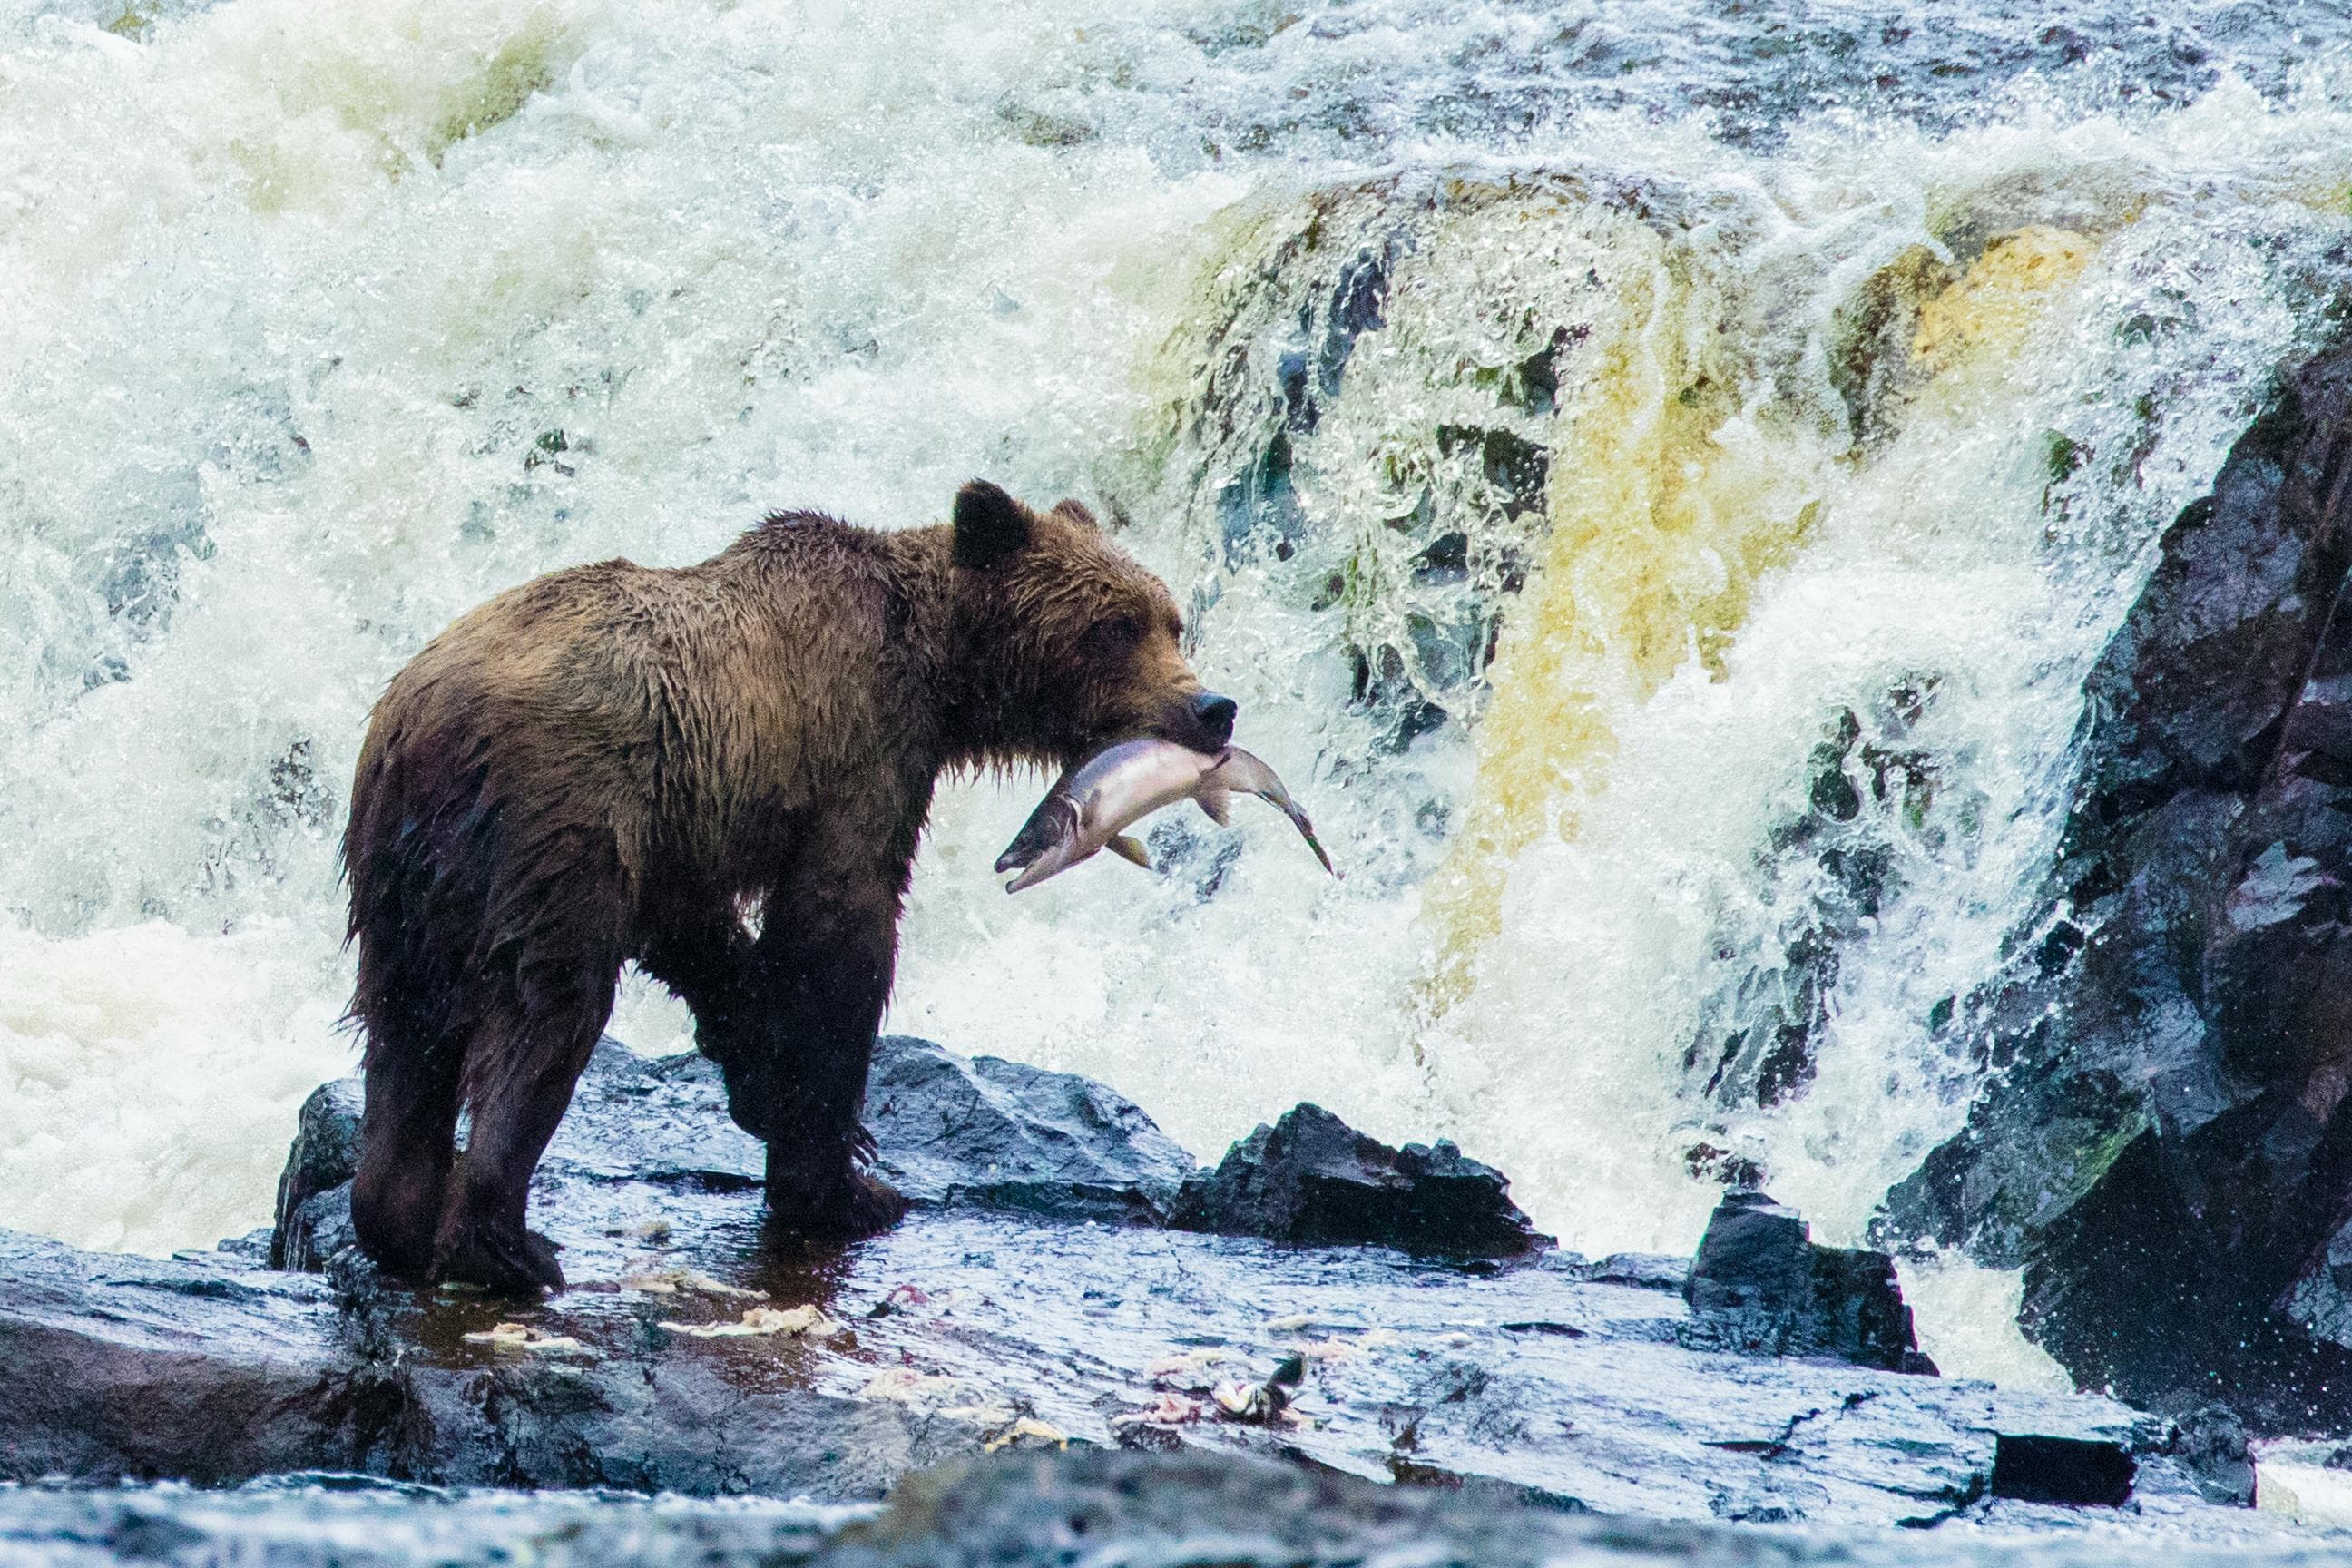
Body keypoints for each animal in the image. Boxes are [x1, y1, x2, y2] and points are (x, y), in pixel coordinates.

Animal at [346, 484, 1241, 1298]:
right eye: (1113, 626)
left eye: (1170, 618)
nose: (1212, 706)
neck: (939, 675)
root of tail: (416, 724)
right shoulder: (853, 748)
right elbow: (839, 931)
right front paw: (846, 1182)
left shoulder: (678, 820)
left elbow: (699, 934)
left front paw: (767, 1083)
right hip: (555, 817)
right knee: (547, 1009)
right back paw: (506, 1248)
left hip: (401, 874)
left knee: (405, 1028)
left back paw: (396, 1221)